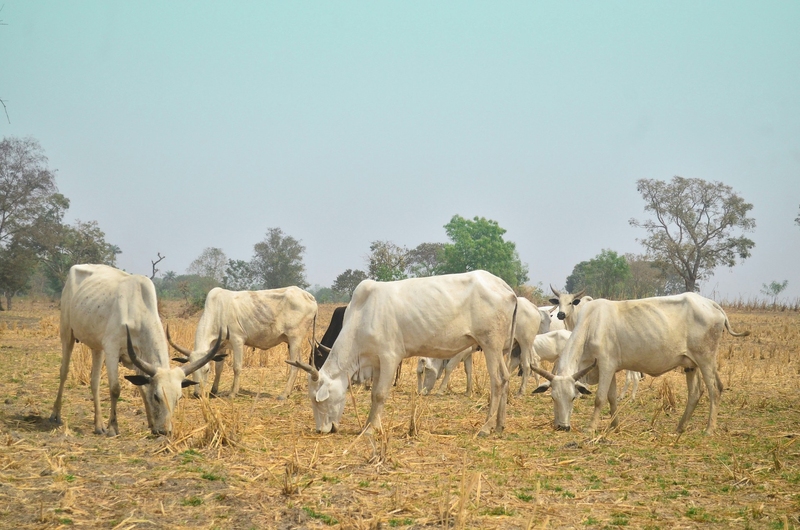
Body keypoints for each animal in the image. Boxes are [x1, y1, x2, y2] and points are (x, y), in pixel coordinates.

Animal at [49, 262, 225, 434]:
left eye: (178, 398)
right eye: (157, 396)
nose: (165, 431)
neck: (138, 312)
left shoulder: (138, 357)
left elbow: (142, 388)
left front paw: (151, 423)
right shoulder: (112, 350)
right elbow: (115, 389)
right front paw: (113, 427)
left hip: (96, 346)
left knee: (94, 381)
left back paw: (99, 425)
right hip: (67, 332)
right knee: (64, 372)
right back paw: (56, 415)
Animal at [288, 270, 520, 436]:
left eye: (318, 401)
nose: (321, 430)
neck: (362, 314)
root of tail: (507, 289)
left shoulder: (390, 357)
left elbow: (380, 394)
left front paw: (370, 429)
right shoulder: (377, 362)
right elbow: (373, 394)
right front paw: (370, 425)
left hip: (490, 344)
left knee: (497, 381)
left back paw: (486, 427)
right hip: (499, 348)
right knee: (505, 377)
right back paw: (500, 425)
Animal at [532, 292, 752, 434]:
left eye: (573, 398)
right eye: (553, 398)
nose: (562, 426)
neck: (591, 324)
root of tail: (712, 304)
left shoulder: (606, 365)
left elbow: (600, 398)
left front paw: (590, 428)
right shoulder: (610, 369)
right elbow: (612, 398)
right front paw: (615, 426)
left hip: (706, 360)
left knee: (715, 390)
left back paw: (709, 429)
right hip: (691, 364)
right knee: (695, 393)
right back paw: (679, 427)